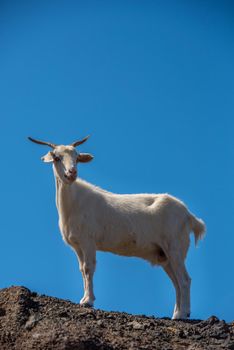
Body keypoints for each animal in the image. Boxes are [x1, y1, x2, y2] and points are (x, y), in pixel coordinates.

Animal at [28, 136, 205, 320]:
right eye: (56, 157)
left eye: (77, 158)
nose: (71, 173)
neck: (73, 204)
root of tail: (189, 216)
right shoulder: (77, 245)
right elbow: (82, 269)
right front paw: (83, 298)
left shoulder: (88, 241)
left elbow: (89, 268)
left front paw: (88, 301)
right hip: (164, 255)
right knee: (176, 282)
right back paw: (176, 313)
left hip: (175, 247)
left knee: (184, 280)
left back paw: (182, 314)